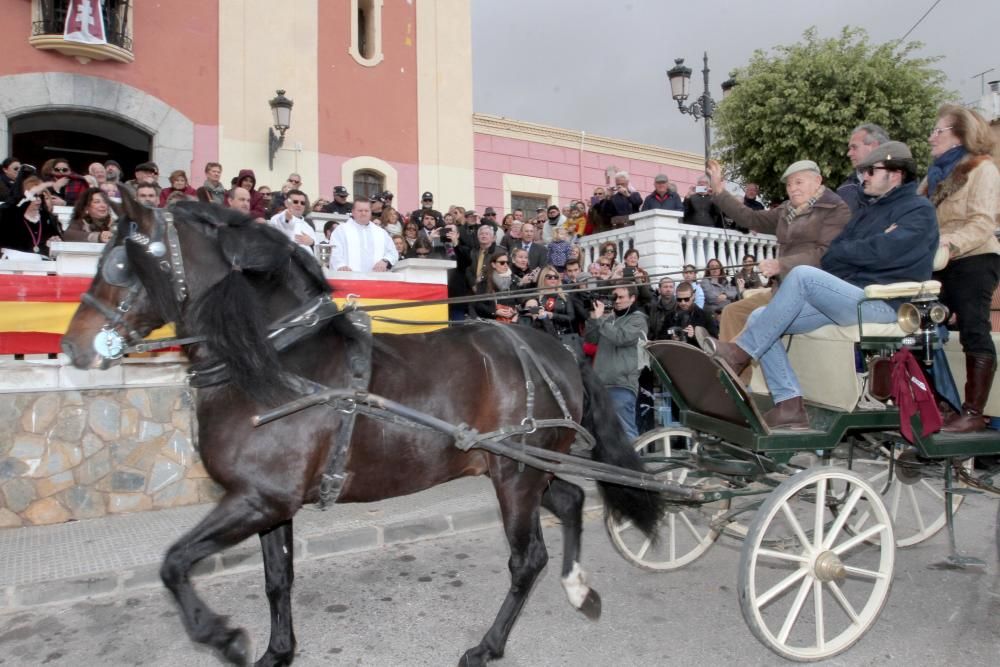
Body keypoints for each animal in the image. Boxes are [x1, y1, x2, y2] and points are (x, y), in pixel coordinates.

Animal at [58, 194, 660, 667]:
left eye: (120, 264)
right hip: (524, 469)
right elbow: (277, 579)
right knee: (571, 500)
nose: (72, 348)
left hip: (514, 474)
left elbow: (175, 563)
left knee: (527, 558)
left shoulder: (257, 499)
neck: (276, 360)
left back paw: (487, 646)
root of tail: (554, 348)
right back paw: (578, 590)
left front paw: (223, 637)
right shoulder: (267, 501)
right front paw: (277, 651)